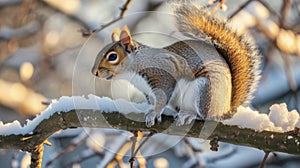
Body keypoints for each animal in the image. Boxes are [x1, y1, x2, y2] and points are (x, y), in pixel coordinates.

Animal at [91, 2, 260, 126]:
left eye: (113, 57)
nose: (94, 72)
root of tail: (225, 109)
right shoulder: (148, 91)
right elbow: (155, 100)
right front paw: (152, 111)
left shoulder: (162, 74)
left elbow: (162, 97)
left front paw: (154, 113)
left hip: (204, 91)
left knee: (205, 116)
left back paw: (189, 115)